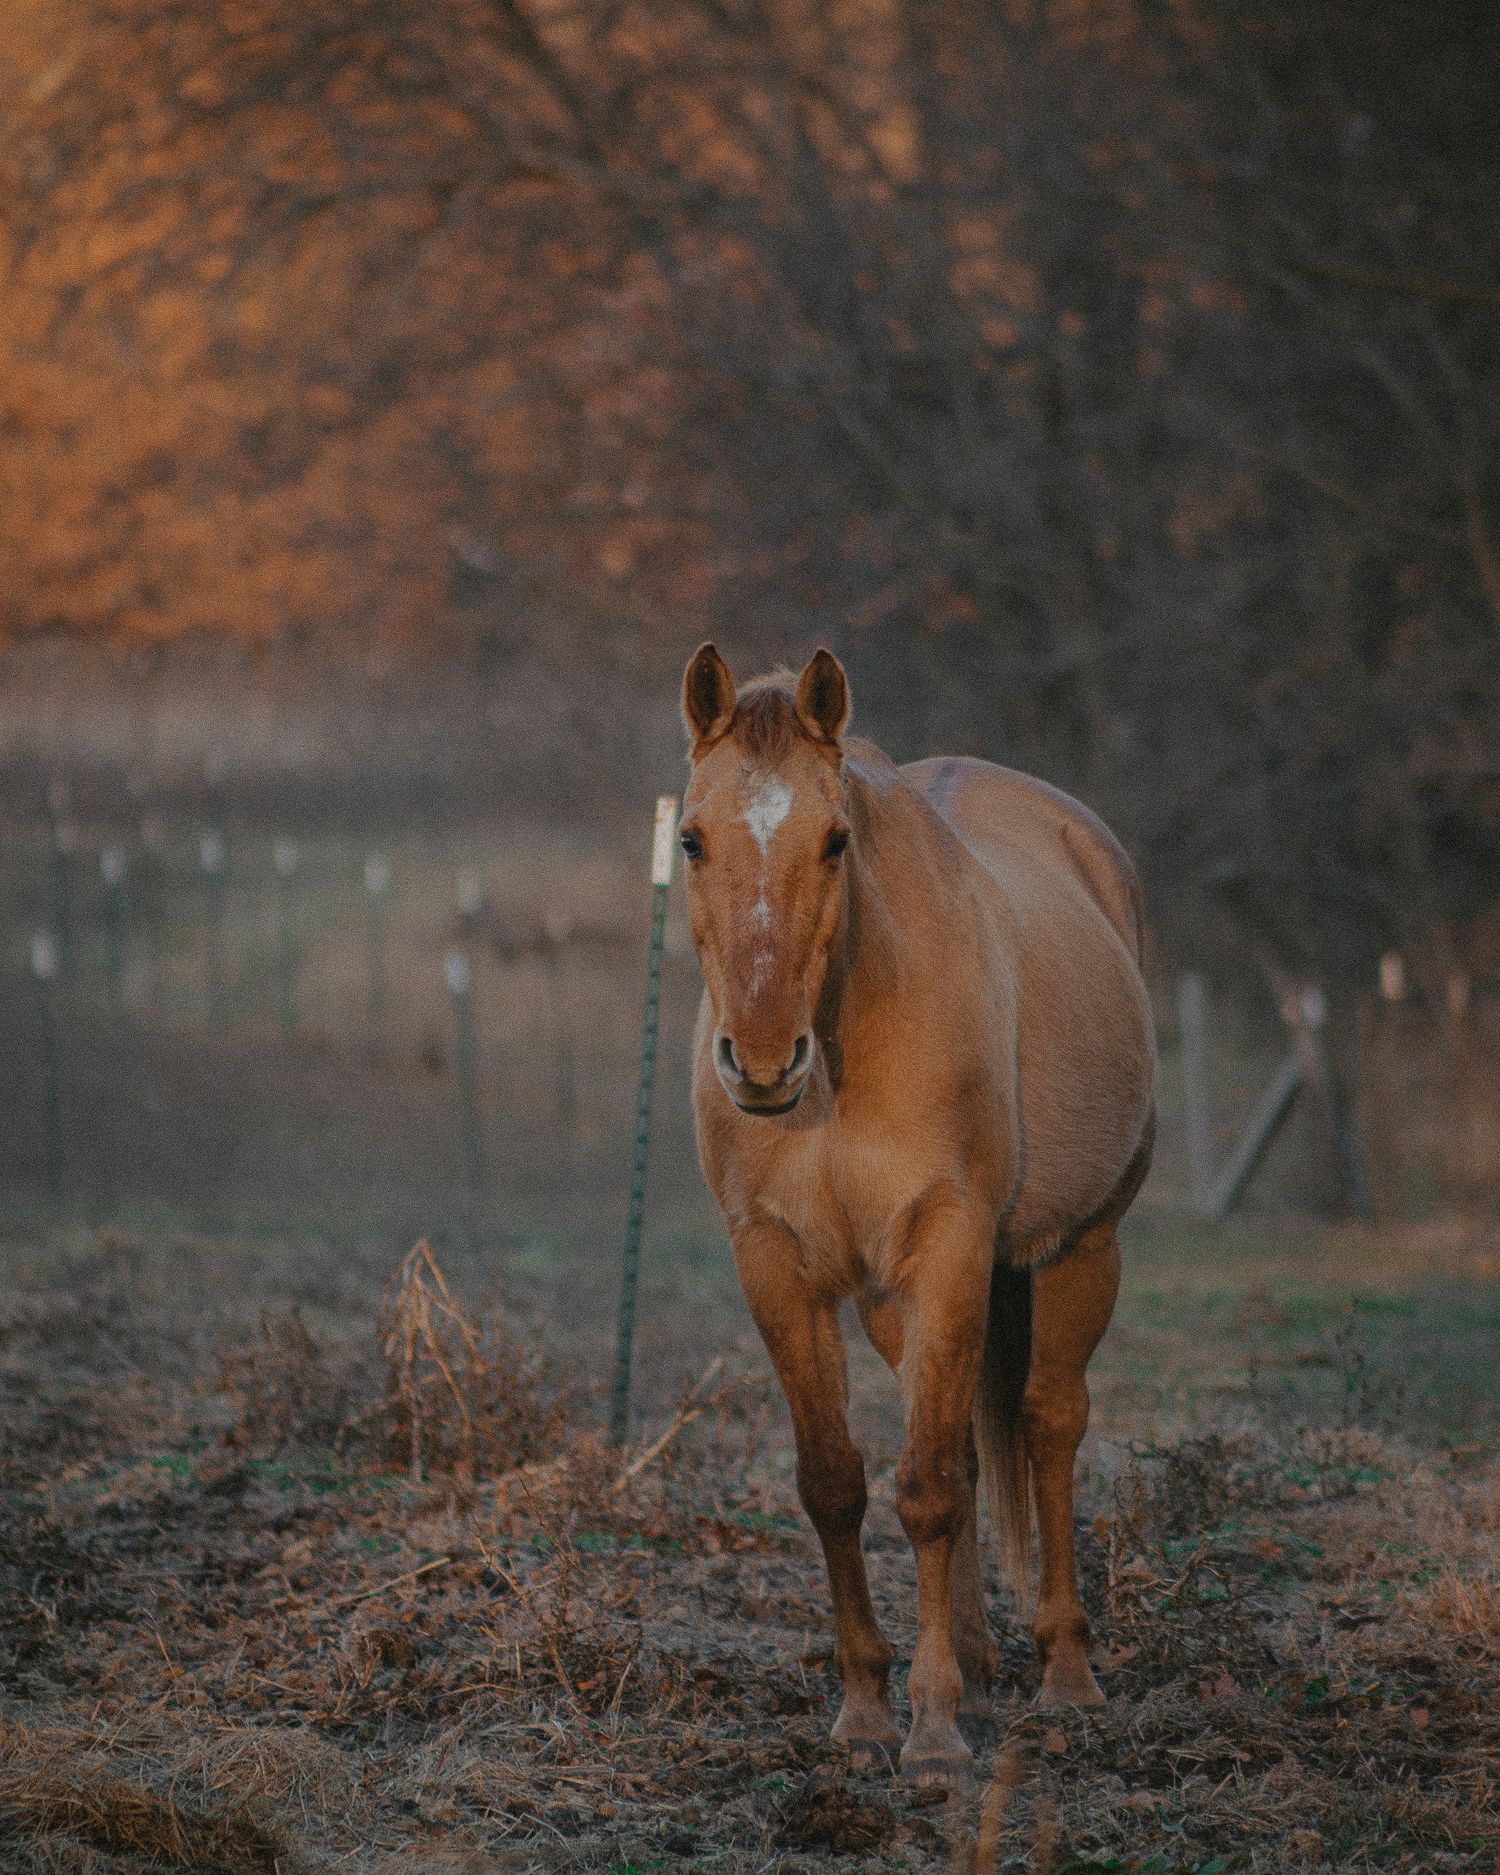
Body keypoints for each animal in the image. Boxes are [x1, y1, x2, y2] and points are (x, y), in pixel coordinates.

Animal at [677, 642, 1156, 1790]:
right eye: (692, 838)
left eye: (835, 838)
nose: (766, 1063)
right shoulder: (781, 1267)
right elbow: (839, 1483)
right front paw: (863, 1713)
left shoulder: (951, 1246)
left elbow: (931, 1487)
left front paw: (933, 1734)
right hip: (901, 1310)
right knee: (978, 1447)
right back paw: (981, 1669)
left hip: (1082, 1252)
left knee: (1047, 1426)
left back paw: (1065, 1673)